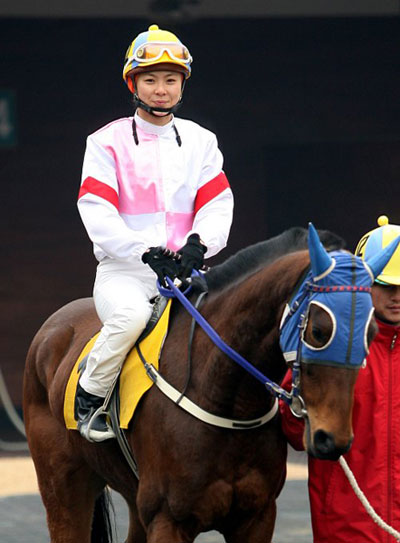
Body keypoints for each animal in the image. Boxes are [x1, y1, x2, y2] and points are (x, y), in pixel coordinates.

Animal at [23, 225, 394, 543]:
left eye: (371, 333)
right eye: (319, 330)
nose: (332, 440)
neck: (226, 399)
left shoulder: (257, 517)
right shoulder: (168, 520)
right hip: (65, 485)